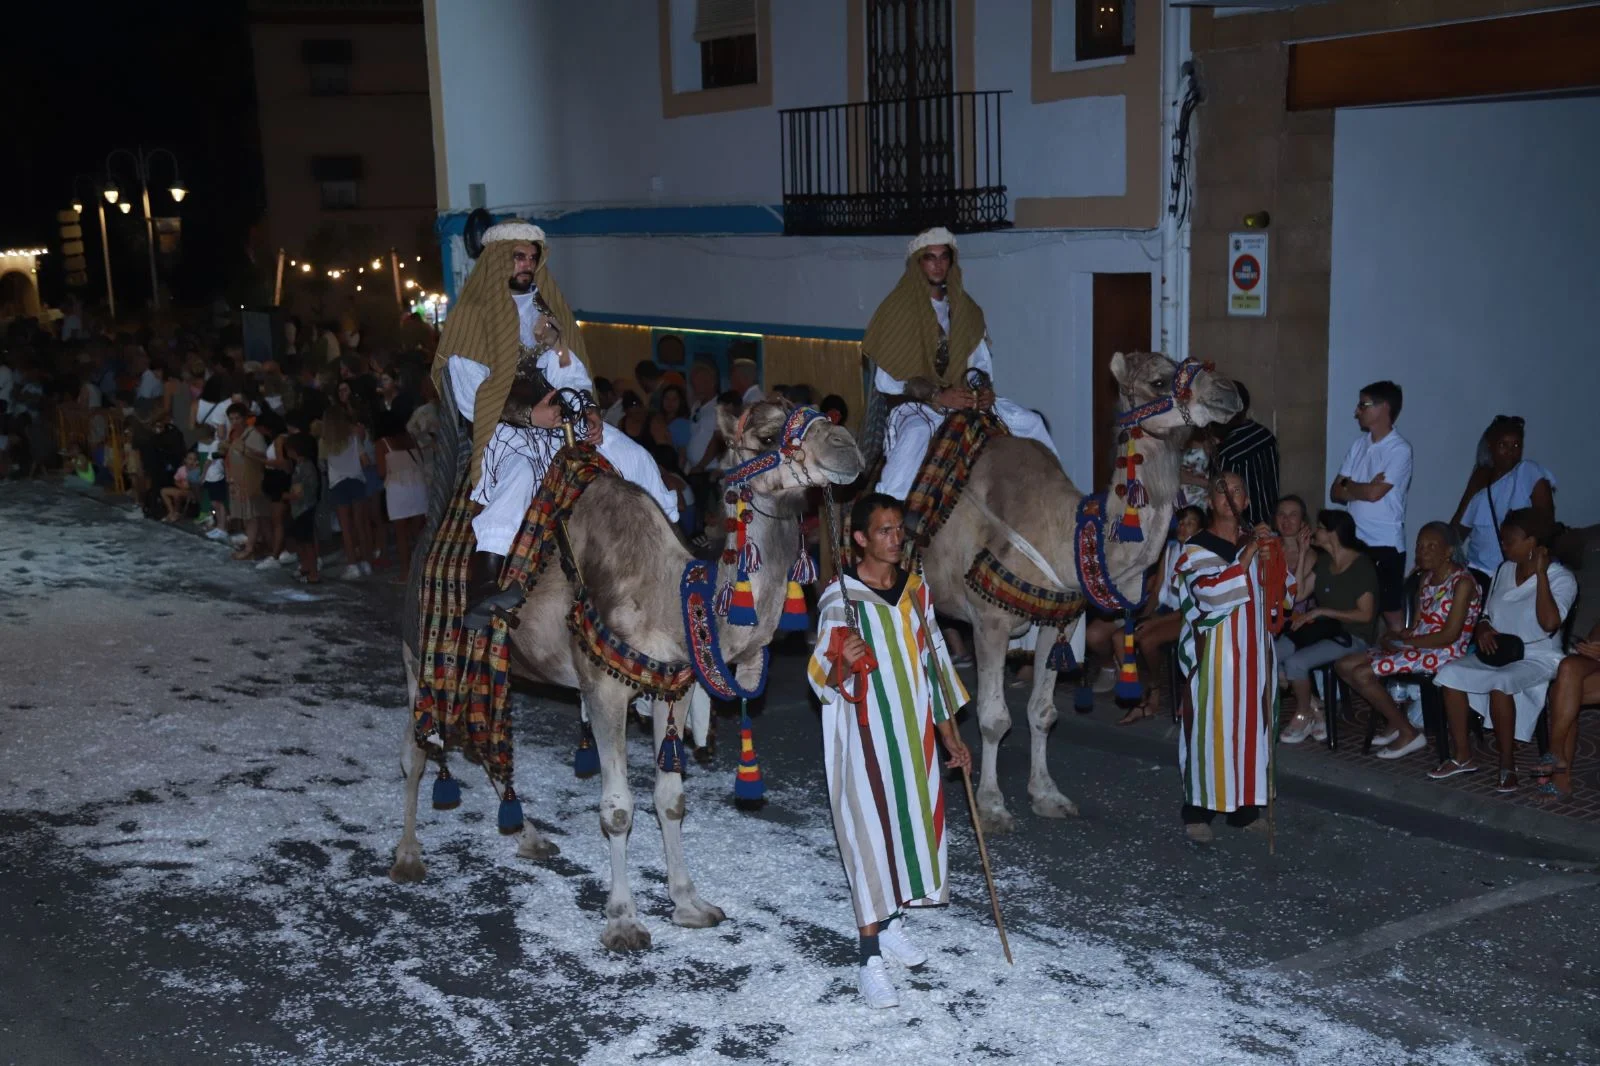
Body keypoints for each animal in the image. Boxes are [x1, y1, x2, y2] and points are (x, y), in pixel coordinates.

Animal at [388, 393, 864, 947]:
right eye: (767, 437)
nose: (847, 447)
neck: (669, 592)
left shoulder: (673, 689)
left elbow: (670, 798)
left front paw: (690, 904)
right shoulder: (604, 690)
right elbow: (617, 809)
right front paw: (623, 921)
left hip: (489, 659)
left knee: (485, 743)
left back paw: (530, 838)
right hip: (418, 651)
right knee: (416, 750)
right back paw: (407, 856)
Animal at [915, 350, 1235, 832]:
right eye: (1160, 381)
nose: (1229, 392)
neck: (1063, 533)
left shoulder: (1056, 621)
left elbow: (1042, 712)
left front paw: (1047, 795)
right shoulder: (989, 621)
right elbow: (994, 718)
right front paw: (991, 806)